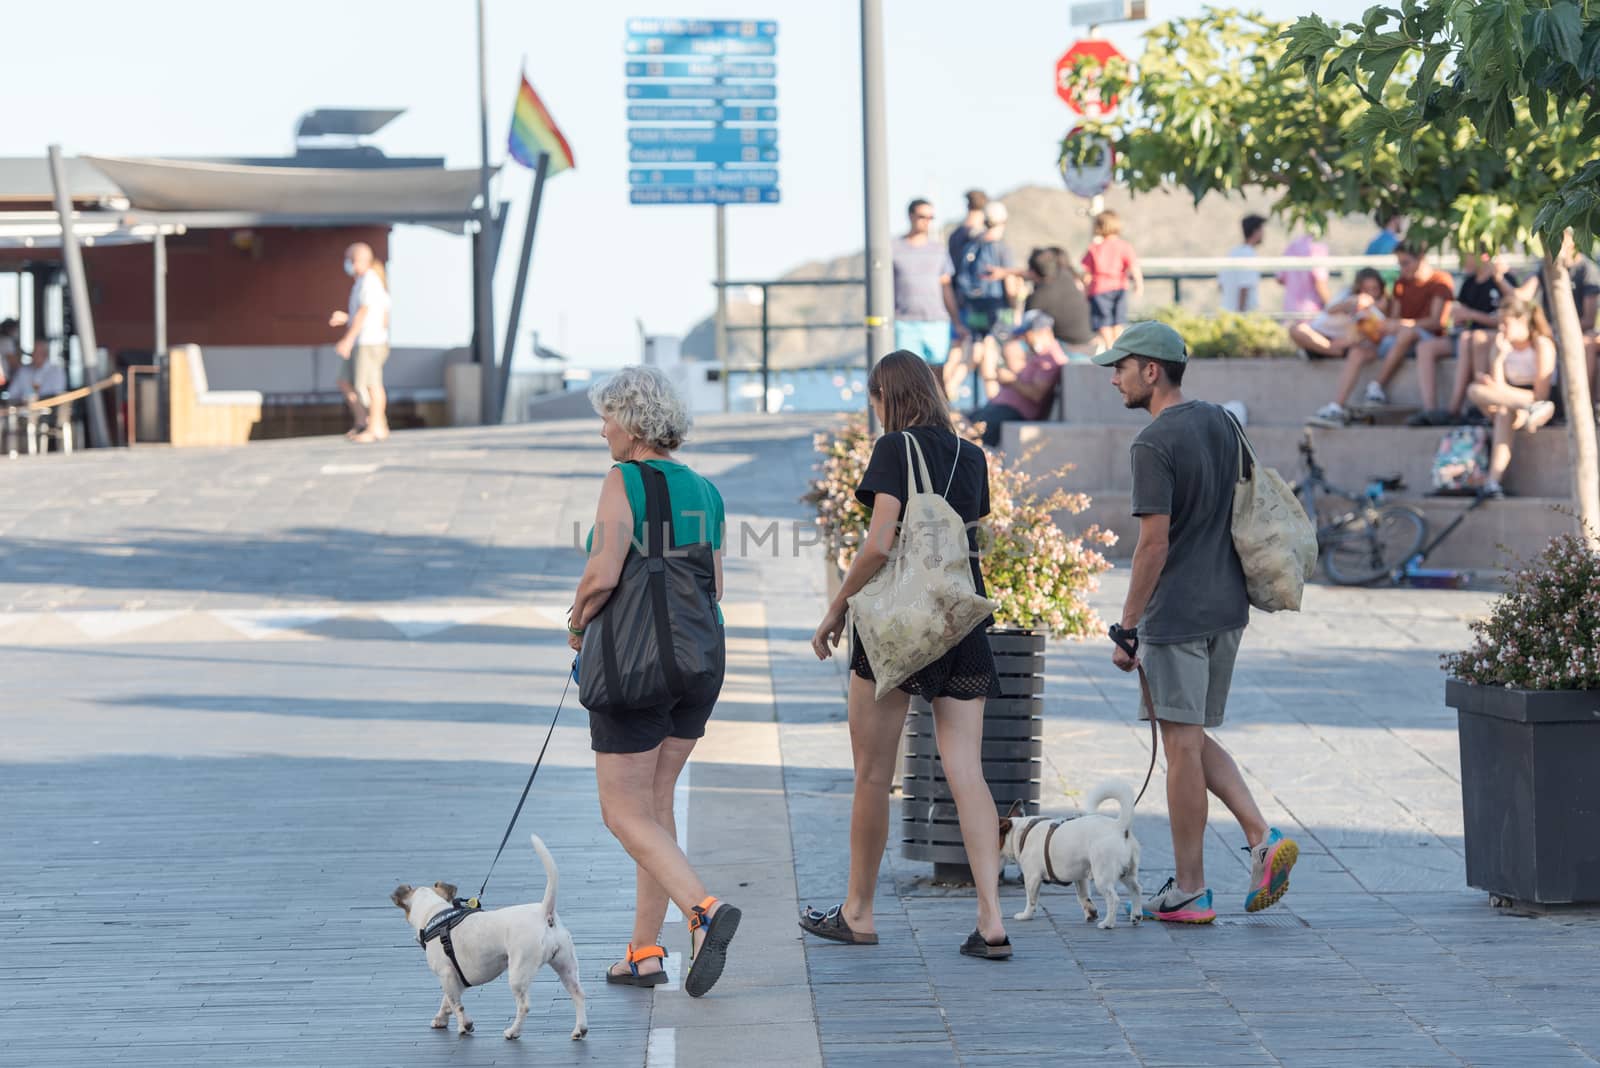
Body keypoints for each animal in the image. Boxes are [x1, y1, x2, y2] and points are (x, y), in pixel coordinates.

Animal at [390, 831, 592, 1042]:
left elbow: (456, 1004)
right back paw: (580, 1029)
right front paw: (440, 1019)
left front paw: (464, 1025)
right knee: (578, 994)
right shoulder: (454, 978)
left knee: (524, 1006)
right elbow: (447, 1001)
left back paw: (513, 1031)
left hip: (518, 973)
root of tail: (544, 912)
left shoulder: (446, 973)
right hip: (566, 966)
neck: (434, 912)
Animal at [998, 780, 1139, 927]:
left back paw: (1108, 923)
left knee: (1114, 899)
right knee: (1136, 889)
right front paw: (1091, 912)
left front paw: (1026, 915)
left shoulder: (1032, 877)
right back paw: (1136, 915)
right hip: (1127, 873)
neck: (1020, 833)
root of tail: (1119, 827)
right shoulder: (1081, 878)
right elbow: (1083, 896)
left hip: (1102, 877)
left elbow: (1031, 900)